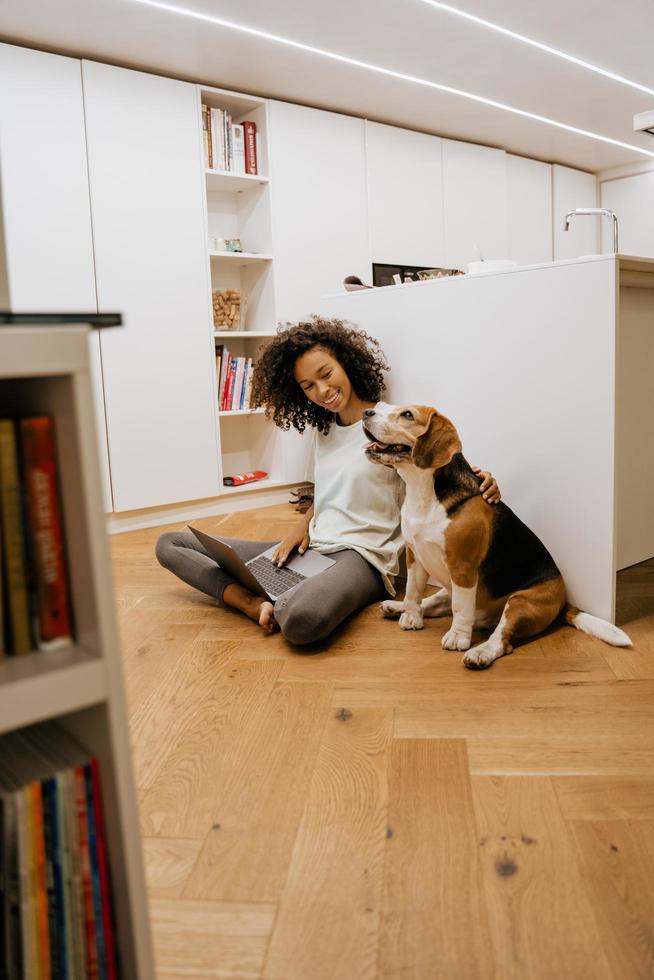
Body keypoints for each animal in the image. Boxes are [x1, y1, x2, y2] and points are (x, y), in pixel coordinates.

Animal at [364, 402, 632, 668]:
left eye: (407, 415)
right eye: (383, 406)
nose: (367, 412)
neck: (425, 493)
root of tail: (563, 602)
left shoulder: (462, 567)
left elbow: (460, 608)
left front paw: (458, 637)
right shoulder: (415, 556)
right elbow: (413, 591)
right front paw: (410, 616)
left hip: (519, 603)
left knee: (502, 639)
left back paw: (480, 652)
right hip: (451, 589)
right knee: (431, 603)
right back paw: (396, 607)